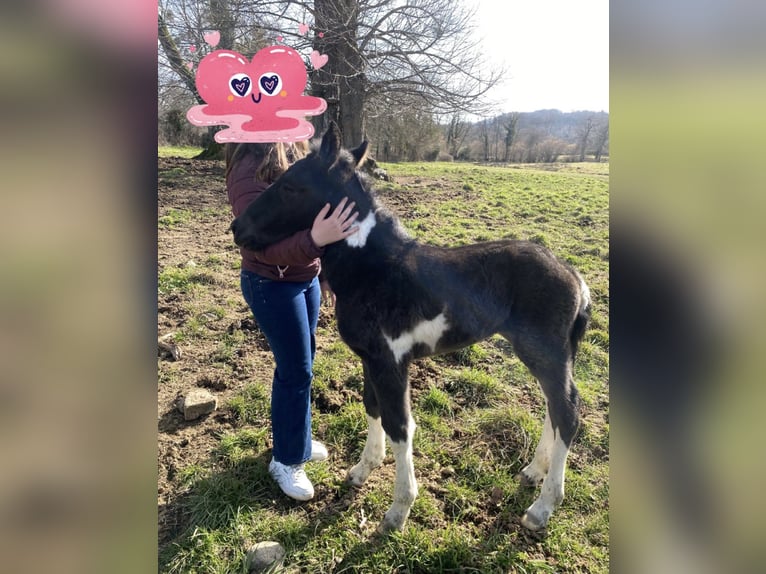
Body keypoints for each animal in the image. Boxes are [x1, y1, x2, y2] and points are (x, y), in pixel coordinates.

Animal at [231, 124, 592, 532]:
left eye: (290, 186)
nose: (237, 228)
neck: (374, 269)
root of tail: (575, 277)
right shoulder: (370, 359)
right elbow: (371, 406)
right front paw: (362, 470)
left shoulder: (392, 363)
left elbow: (400, 426)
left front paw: (398, 510)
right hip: (543, 354)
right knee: (553, 407)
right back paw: (533, 472)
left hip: (545, 352)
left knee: (568, 412)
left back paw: (543, 506)